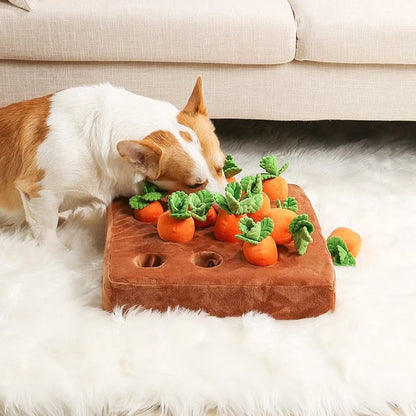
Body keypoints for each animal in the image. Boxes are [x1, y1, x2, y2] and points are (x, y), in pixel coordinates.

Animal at [0, 77, 228, 244]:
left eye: (222, 167)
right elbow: (47, 233)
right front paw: (56, 252)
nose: (228, 204)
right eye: (195, 185)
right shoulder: (40, 193)